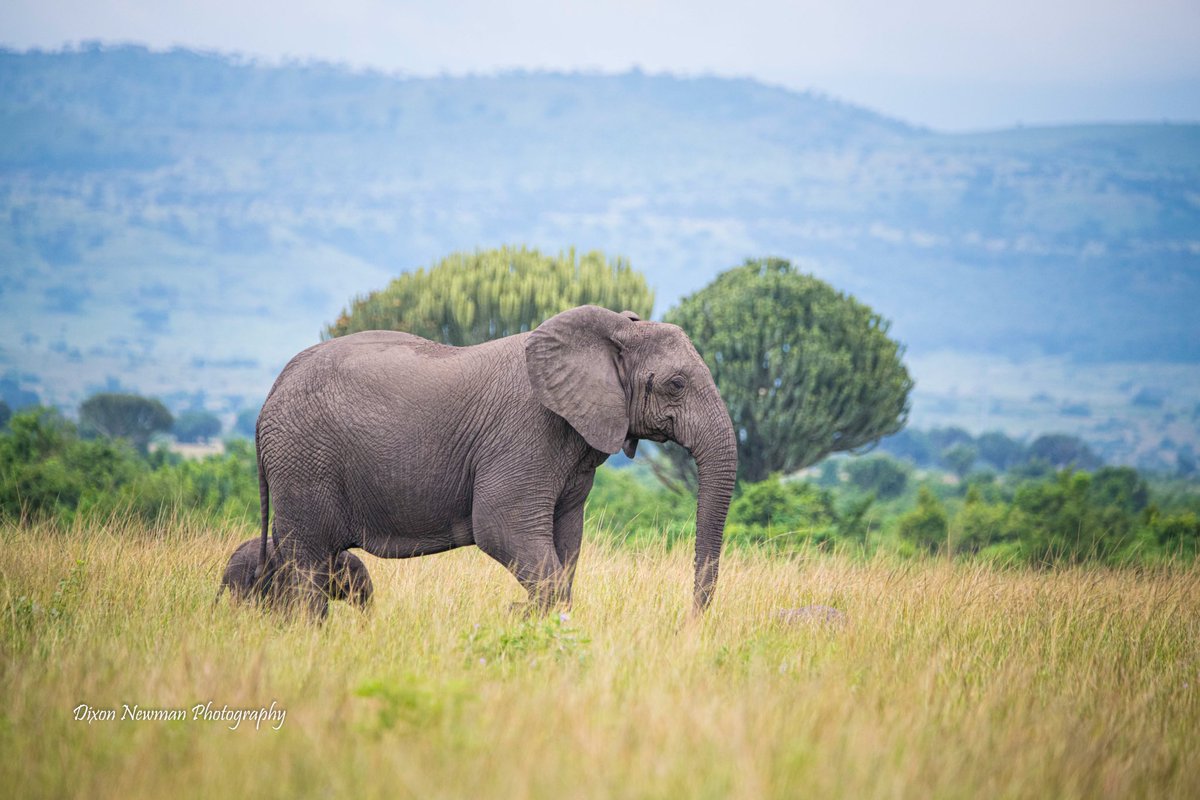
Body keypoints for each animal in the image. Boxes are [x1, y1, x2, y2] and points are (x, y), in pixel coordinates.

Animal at [252, 304, 737, 618]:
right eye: (676, 384)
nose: (691, 622)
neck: (613, 331)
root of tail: (271, 393)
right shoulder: (527, 432)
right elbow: (501, 526)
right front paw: (521, 614)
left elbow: (567, 541)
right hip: (303, 461)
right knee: (308, 563)